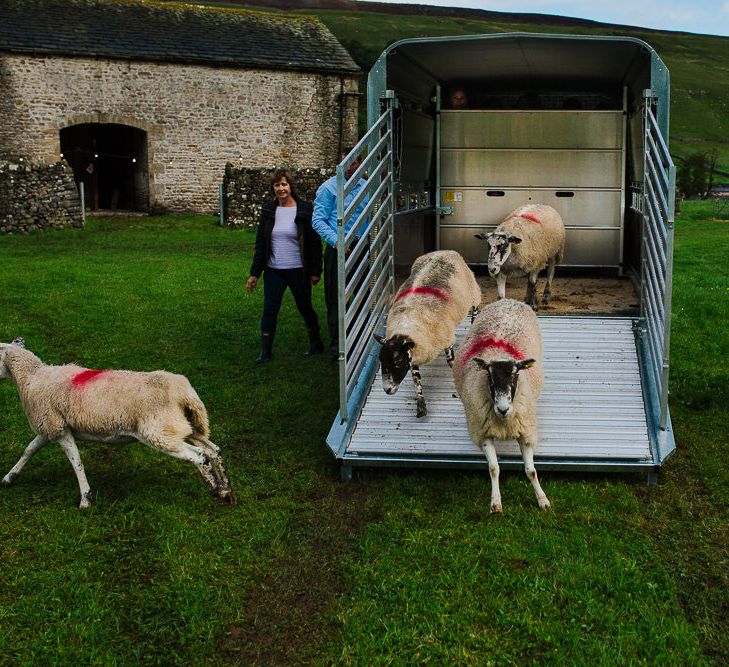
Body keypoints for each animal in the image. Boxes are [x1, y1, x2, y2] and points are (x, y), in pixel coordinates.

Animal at [0, 336, 232, 508]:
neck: (32, 376)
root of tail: (184, 392)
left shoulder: (58, 428)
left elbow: (76, 462)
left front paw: (86, 499)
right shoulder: (49, 428)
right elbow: (29, 450)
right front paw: (8, 478)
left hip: (158, 432)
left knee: (199, 456)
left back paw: (214, 489)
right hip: (184, 425)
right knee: (213, 450)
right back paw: (226, 490)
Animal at [372, 249, 480, 418]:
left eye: (398, 362)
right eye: (381, 361)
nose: (387, 390)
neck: (406, 325)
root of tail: (446, 251)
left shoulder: (446, 339)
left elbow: (451, 362)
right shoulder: (415, 352)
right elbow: (416, 379)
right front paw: (421, 406)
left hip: (473, 290)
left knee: (475, 308)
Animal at [452, 300, 548, 516]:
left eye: (515, 375)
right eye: (489, 377)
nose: (503, 409)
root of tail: (507, 300)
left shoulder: (525, 432)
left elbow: (531, 471)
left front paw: (542, 500)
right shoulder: (483, 434)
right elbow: (494, 469)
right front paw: (496, 503)